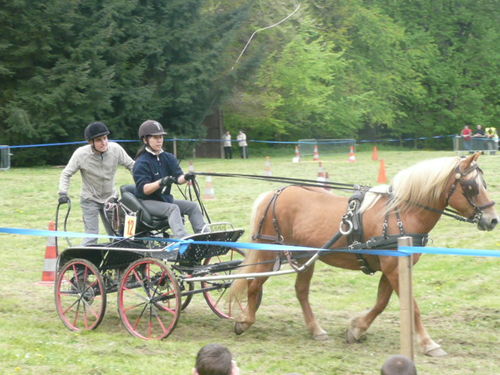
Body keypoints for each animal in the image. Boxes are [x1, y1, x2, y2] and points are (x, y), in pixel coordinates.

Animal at [229, 153, 496, 358]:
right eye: (472, 186)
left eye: (484, 183)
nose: (492, 219)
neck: (401, 213)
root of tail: (275, 193)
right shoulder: (394, 269)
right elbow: (412, 306)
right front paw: (429, 344)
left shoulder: (393, 268)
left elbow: (381, 303)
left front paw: (357, 329)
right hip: (270, 251)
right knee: (254, 284)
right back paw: (245, 320)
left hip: (305, 257)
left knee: (301, 291)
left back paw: (316, 330)